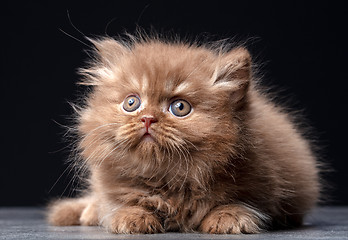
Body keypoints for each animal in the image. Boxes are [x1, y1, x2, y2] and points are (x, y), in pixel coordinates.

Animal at [47, 34, 320, 233]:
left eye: (179, 107)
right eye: (132, 103)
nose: (148, 119)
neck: (170, 180)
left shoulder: (268, 179)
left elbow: (242, 202)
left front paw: (228, 218)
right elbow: (119, 202)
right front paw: (131, 216)